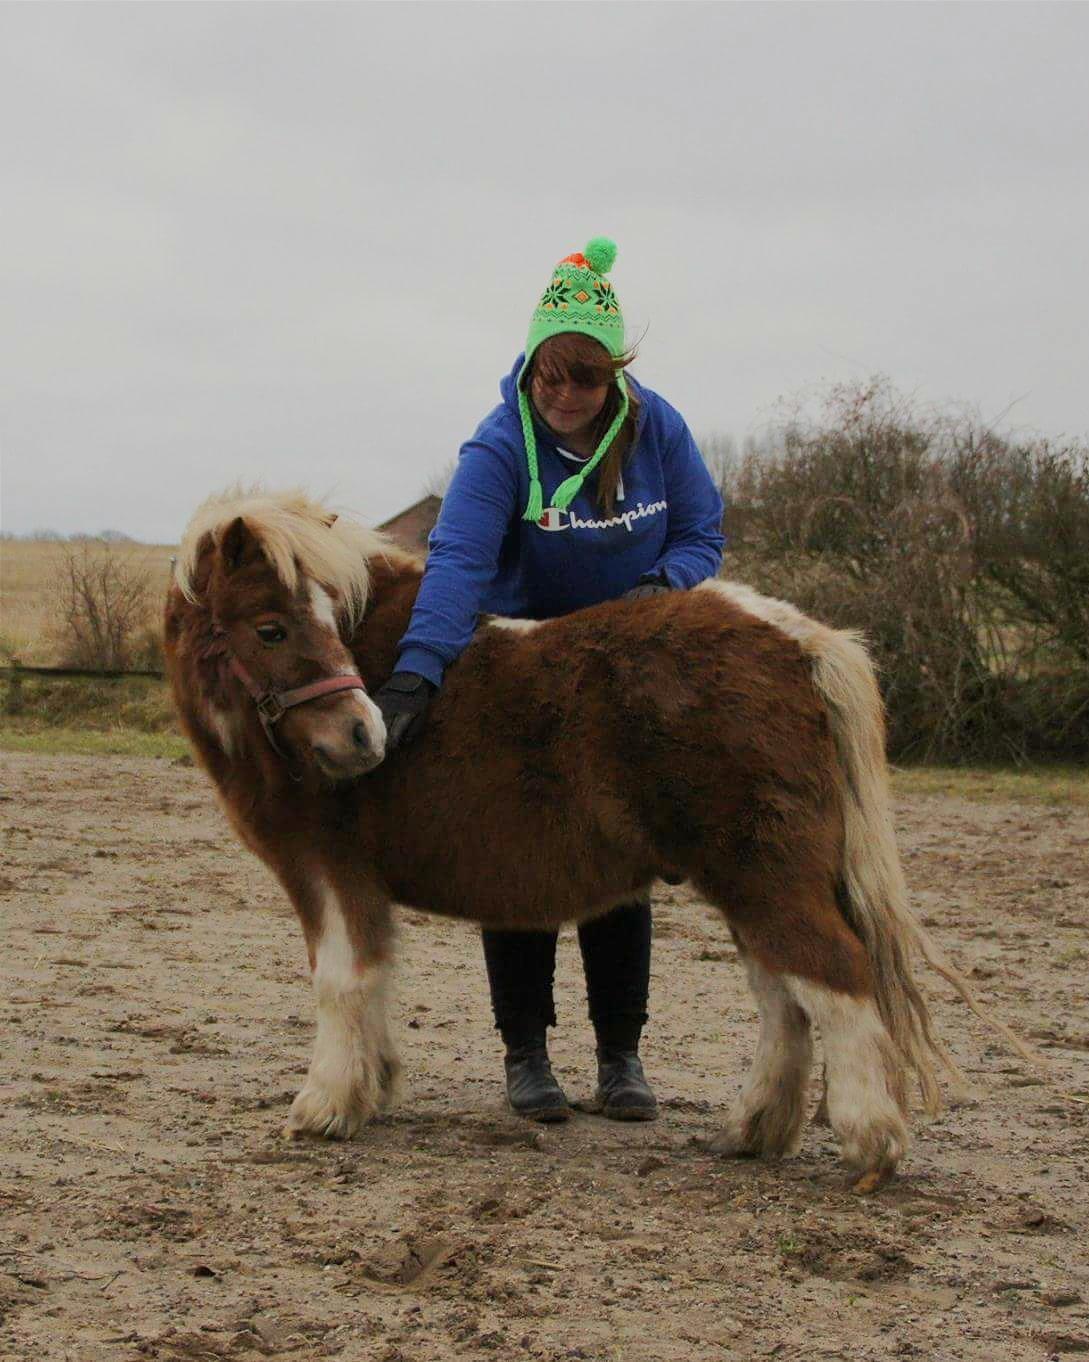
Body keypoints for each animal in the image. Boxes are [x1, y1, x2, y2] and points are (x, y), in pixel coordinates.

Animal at [161, 490, 1023, 1193]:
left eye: (311, 618)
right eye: (271, 626)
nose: (361, 735)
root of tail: (795, 640)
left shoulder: (328, 871)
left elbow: (340, 983)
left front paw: (324, 1108)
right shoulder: (356, 884)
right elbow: (371, 984)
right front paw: (370, 1089)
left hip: (765, 876)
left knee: (831, 978)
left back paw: (870, 1145)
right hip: (752, 880)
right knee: (783, 996)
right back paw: (754, 1130)